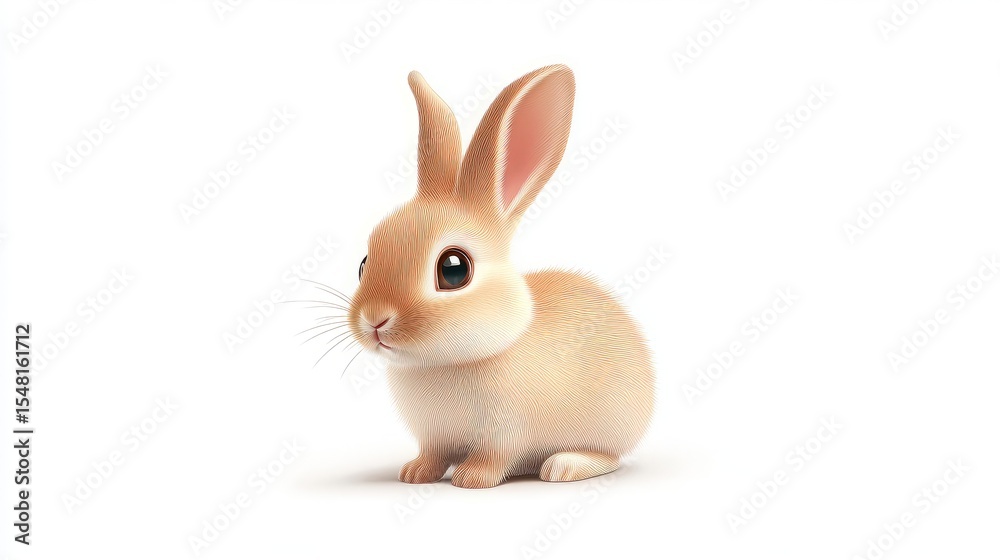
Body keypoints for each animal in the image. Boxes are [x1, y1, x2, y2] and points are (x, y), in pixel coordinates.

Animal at [346, 64, 655, 488]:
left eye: (453, 269)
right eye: (363, 262)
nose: (375, 320)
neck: (447, 361)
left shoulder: (506, 433)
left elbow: (494, 458)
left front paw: (471, 478)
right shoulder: (433, 437)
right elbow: (433, 454)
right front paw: (415, 474)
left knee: (609, 456)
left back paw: (564, 465)